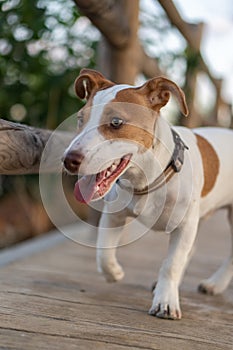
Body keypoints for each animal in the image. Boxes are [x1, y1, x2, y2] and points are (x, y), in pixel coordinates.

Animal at [62, 68, 233, 320]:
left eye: (116, 122)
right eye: (80, 119)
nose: (69, 160)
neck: (147, 180)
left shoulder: (184, 226)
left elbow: (171, 264)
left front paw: (166, 301)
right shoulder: (114, 216)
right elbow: (103, 253)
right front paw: (114, 273)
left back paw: (215, 284)